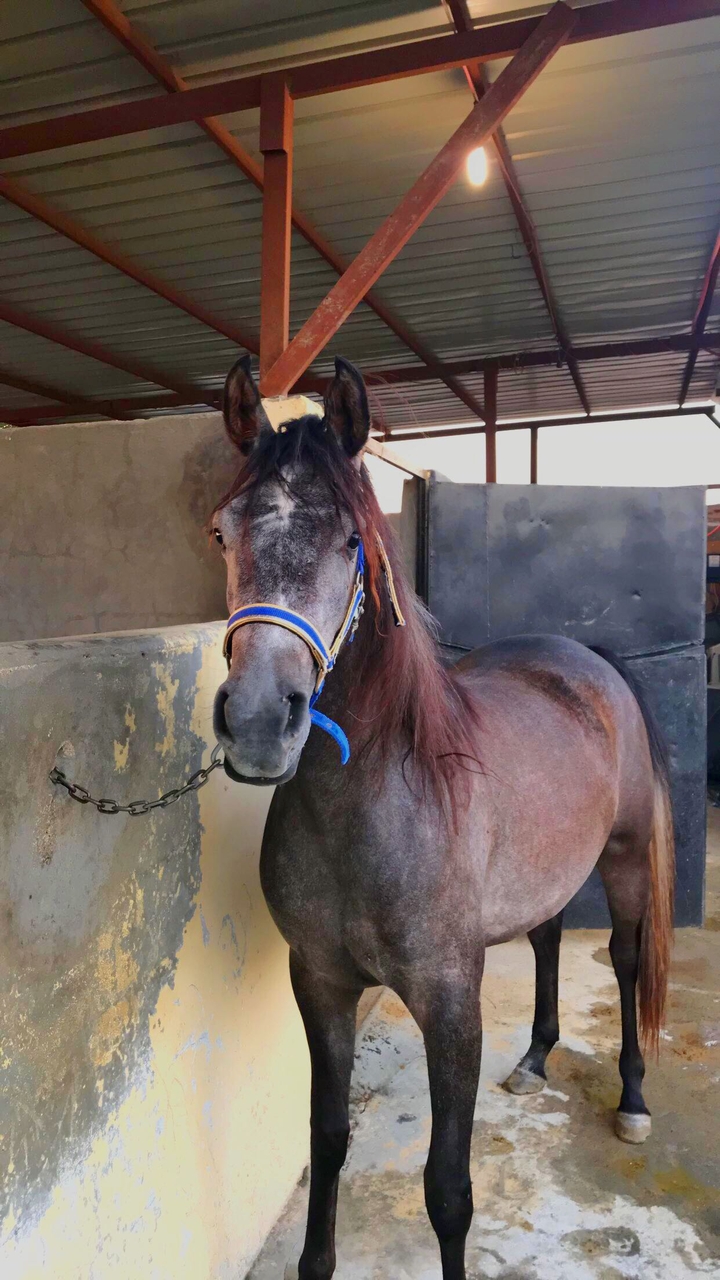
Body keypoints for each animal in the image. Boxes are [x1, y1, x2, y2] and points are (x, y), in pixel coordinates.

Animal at [210, 354, 675, 1280]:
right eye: (221, 532)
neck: (371, 810)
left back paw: (633, 1099)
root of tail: (590, 660)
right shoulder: (319, 983)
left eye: (350, 541)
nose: (258, 722)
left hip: (624, 860)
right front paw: (316, 1260)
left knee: (625, 959)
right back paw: (535, 1057)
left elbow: (448, 1191)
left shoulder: (451, 1002)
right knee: (545, 938)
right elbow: (328, 1136)